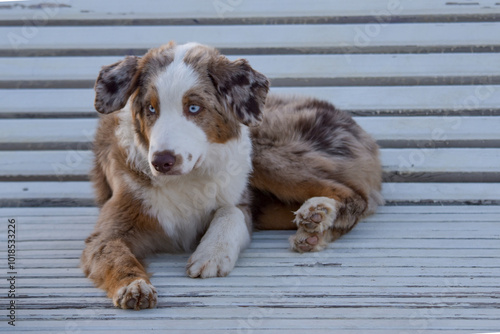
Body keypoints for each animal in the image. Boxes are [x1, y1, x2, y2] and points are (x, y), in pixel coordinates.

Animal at [81, 41, 382, 310]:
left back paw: (319, 212)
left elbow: (231, 212)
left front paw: (212, 254)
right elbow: (116, 256)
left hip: (264, 154)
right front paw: (134, 286)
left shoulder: (239, 198)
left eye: (193, 108)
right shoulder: (109, 230)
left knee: (355, 195)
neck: (187, 178)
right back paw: (313, 233)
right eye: (151, 109)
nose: (161, 162)